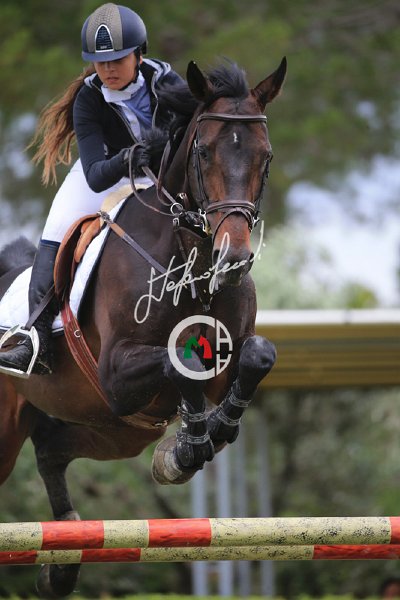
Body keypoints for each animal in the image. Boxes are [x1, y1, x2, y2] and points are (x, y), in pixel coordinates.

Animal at [0, 57, 286, 598]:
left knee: (50, 451)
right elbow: (180, 361)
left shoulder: (220, 361)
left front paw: (200, 436)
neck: (191, 261)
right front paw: (187, 446)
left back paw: (62, 563)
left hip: (110, 430)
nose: (234, 260)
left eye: (266, 157)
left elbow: (257, 355)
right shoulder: (115, 375)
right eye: (204, 151)